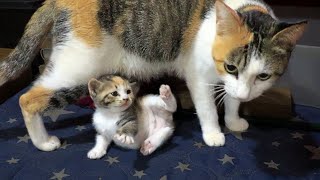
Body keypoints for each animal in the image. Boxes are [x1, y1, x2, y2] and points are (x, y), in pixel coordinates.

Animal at [0, 0, 308, 151]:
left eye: (263, 76)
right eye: (232, 67)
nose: (246, 92)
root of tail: (59, 0)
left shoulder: (230, 85)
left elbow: (232, 100)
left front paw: (233, 121)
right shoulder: (200, 77)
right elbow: (208, 108)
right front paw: (213, 134)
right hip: (78, 69)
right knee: (28, 99)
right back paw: (43, 143)